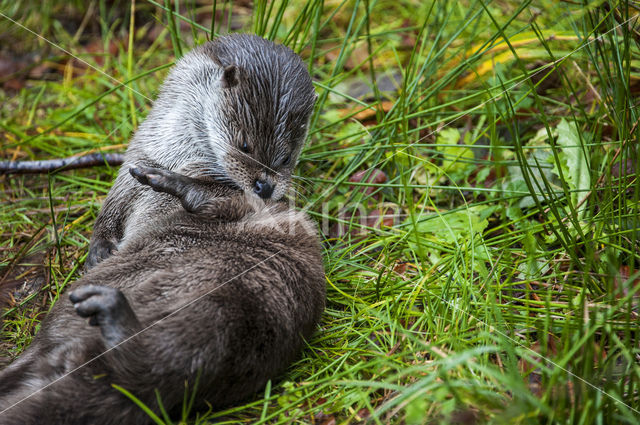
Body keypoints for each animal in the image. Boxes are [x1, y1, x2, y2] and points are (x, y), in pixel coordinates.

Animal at [0, 164, 328, 422]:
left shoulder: (255, 211)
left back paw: (111, 311)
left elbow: (216, 197)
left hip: (223, 315)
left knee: (159, 364)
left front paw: (161, 177)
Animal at [87, 33, 318, 266]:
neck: (182, 157)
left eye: (287, 157)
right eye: (244, 146)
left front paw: (174, 181)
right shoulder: (142, 154)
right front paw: (100, 246)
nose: (265, 186)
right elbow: (115, 201)